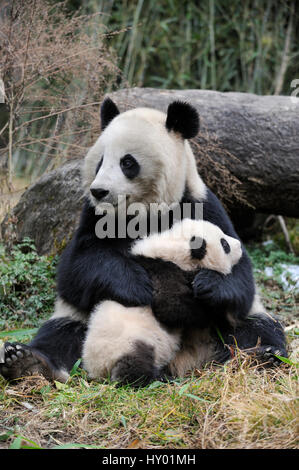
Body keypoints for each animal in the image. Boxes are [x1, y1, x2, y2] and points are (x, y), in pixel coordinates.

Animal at [82, 218, 244, 386]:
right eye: (224, 244)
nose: (239, 245)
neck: (174, 247)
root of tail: (97, 371)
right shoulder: (161, 273)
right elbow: (172, 307)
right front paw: (208, 315)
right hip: (125, 343)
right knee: (133, 366)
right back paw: (159, 378)